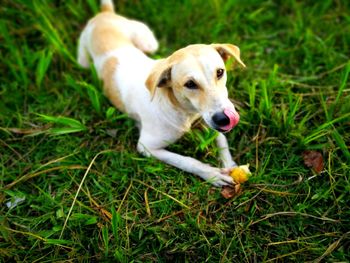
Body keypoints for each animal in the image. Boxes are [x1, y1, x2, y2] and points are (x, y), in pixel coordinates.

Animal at [77, 0, 246, 188]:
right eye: (190, 84)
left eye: (220, 72)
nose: (224, 119)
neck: (180, 109)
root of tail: (104, 15)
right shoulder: (147, 147)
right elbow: (187, 161)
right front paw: (211, 174)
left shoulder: (207, 119)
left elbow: (221, 139)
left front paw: (229, 163)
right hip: (83, 60)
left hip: (148, 43)